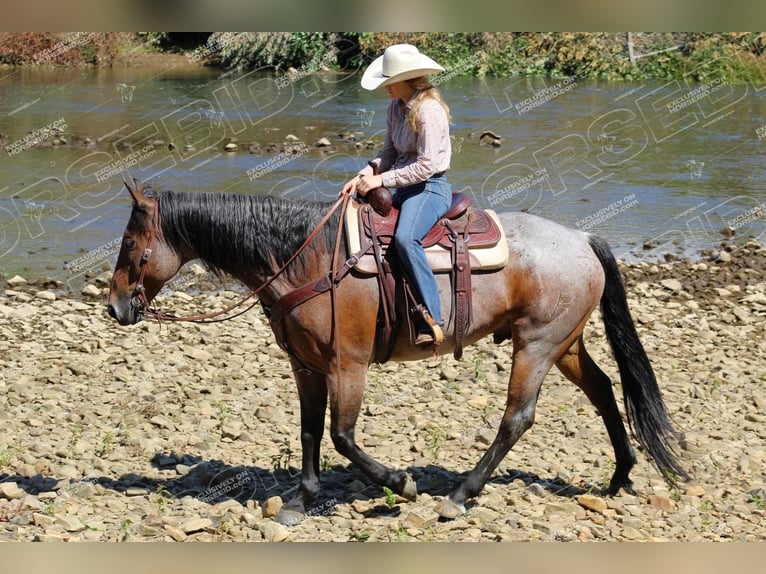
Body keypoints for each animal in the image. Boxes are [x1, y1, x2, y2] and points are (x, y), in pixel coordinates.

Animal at [106, 181, 688, 528]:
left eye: (130, 246)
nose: (115, 306)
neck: (307, 258)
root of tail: (583, 238)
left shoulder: (348, 364)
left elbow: (342, 436)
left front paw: (399, 484)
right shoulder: (306, 365)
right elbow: (310, 431)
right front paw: (300, 500)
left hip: (538, 344)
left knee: (517, 417)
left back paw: (461, 494)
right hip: (564, 343)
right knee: (605, 390)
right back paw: (620, 475)